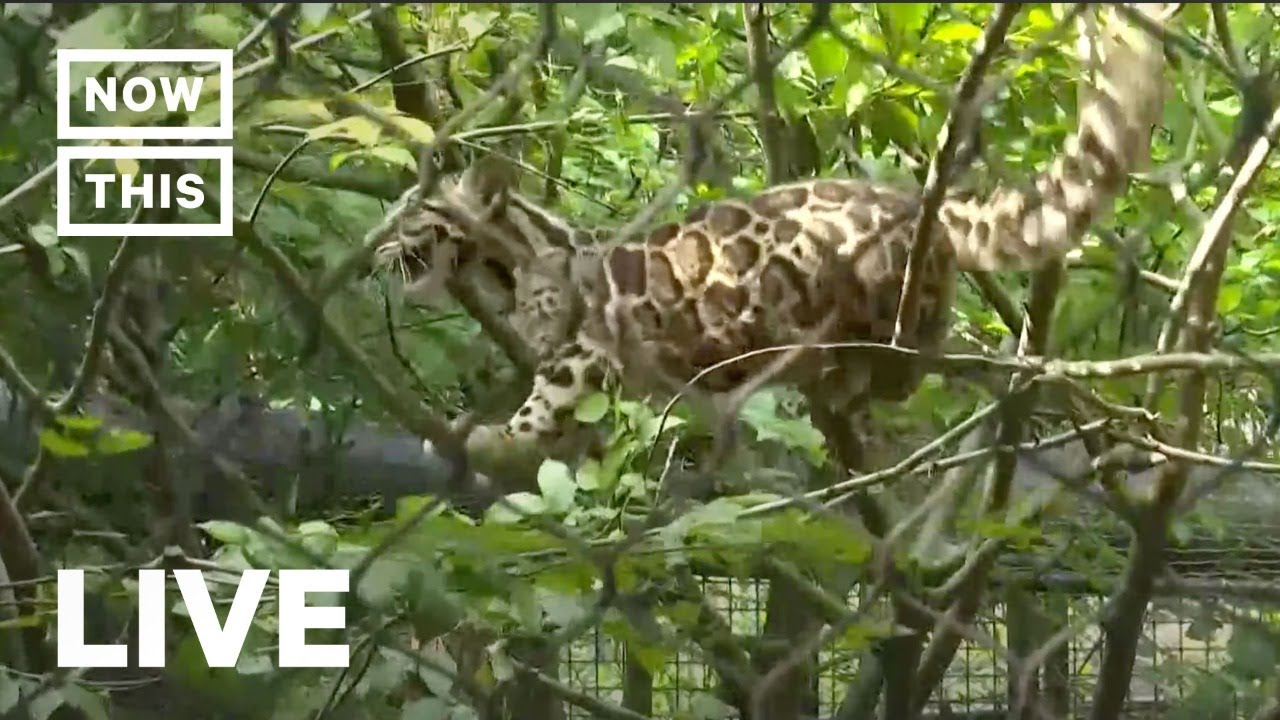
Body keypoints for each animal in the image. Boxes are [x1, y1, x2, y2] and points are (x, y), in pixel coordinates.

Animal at [374, 3, 1173, 478]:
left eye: (412, 212)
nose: (376, 247)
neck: (509, 265)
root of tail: (920, 205)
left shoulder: (583, 349)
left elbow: (545, 402)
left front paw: (496, 436)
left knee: (908, 363)